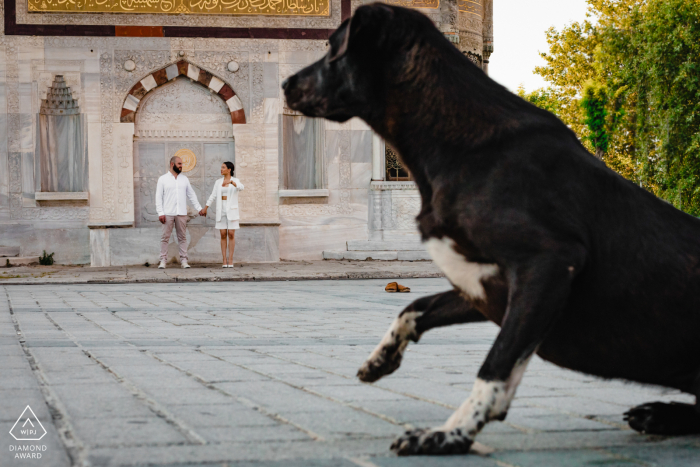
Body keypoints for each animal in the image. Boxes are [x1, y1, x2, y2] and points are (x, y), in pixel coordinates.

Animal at [282, 2, 700, 458]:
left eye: (332, 47)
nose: (285, 84)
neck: (464, 142)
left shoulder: (547, 264)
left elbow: (495, 368)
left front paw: (450, 433)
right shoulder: (482, 285)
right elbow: (413, 307)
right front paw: (382, 358)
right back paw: (658, 414)